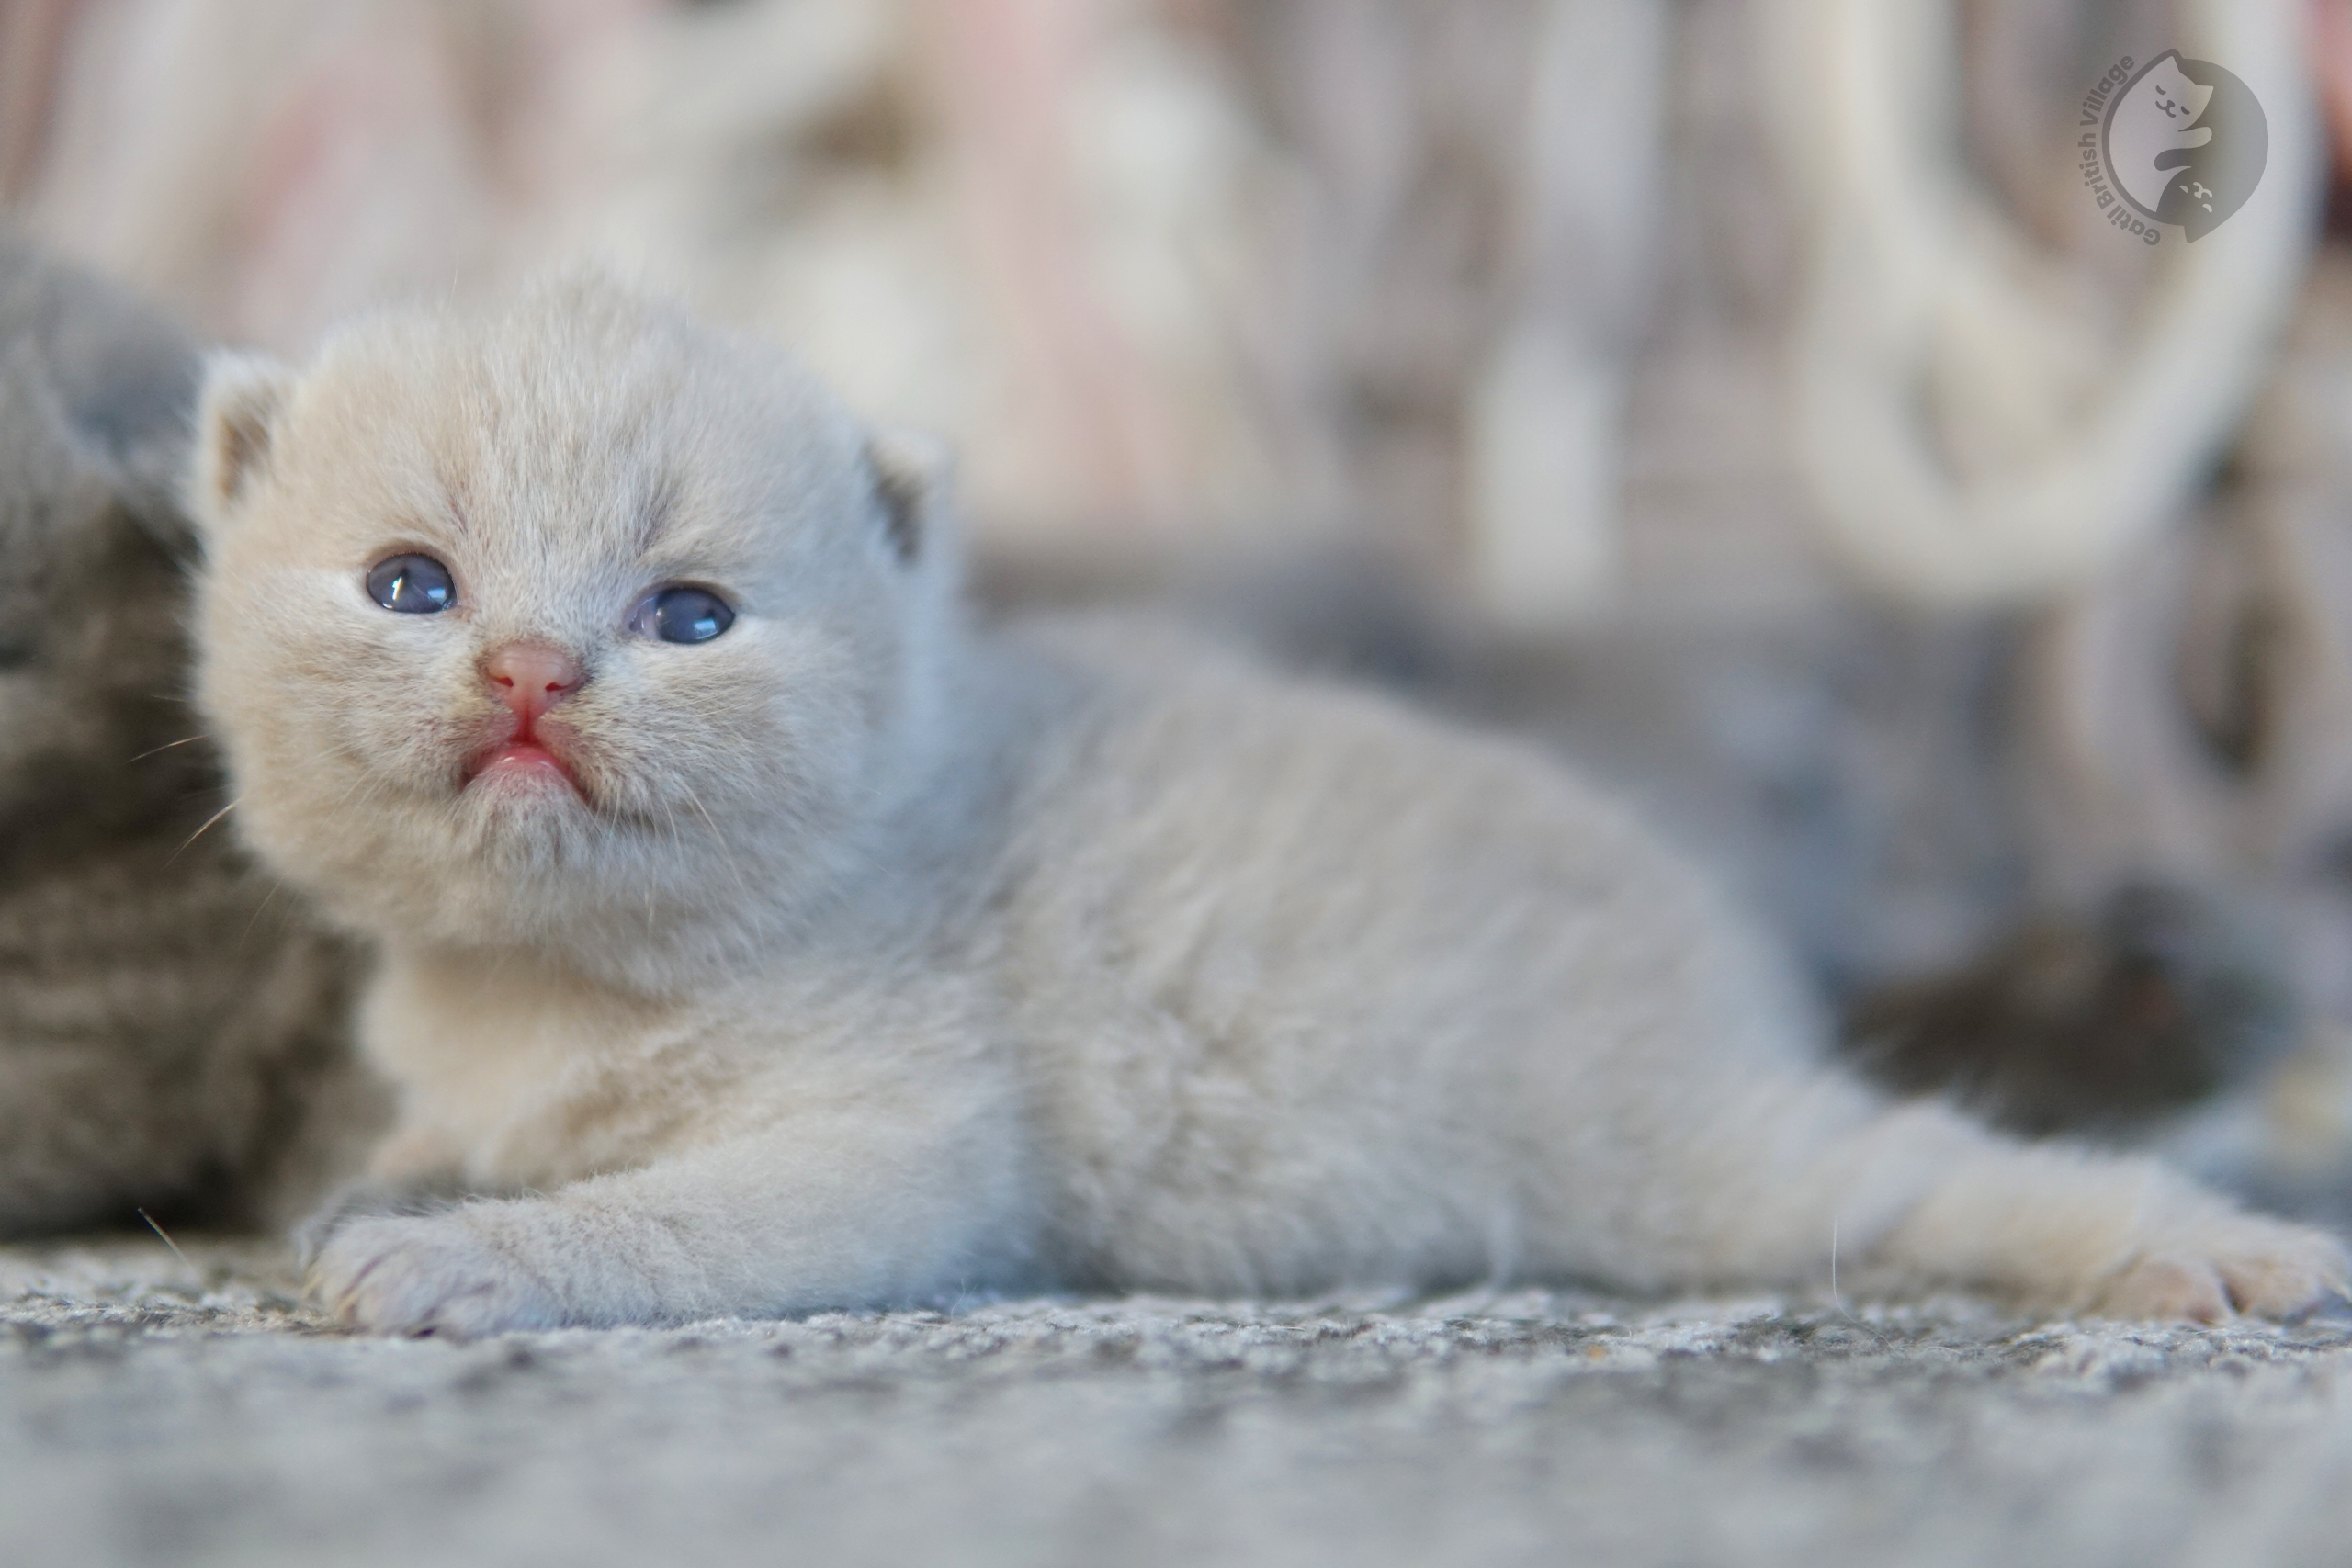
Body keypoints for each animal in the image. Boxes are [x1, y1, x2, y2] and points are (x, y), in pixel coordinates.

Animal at [187, 276, 2352, 1335]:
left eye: (691, 615)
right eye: (412, 586)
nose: (531, 671)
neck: (545, 981)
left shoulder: (907, 1126)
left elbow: (686, 1218)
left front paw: (477, 1257)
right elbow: (430, 1143)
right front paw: (399, 1183)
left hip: (1649, 1146)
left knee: (1911, 1173)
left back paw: (2205, 1253)